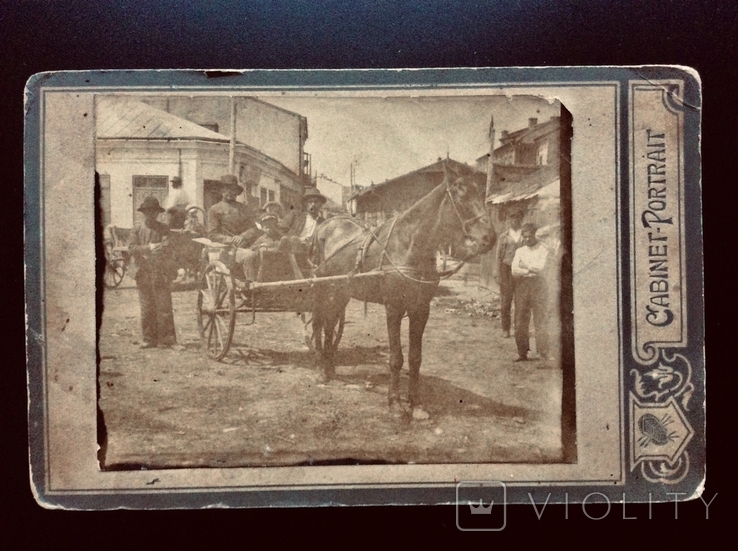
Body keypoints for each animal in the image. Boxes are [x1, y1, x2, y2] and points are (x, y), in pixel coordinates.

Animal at [308, 166, 498, 416]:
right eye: (461, 195)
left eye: (481, 194)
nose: (490, 238)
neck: (409, 245)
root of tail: (325, 225)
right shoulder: (394, 308)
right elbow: (396, 357)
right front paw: (395, 402)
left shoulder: (421, 309)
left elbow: (415, 358)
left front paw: (416, 403)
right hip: (322, 287)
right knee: (319, 324)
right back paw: (321, 369)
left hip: (341, 292)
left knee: (330, 325)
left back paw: (330, 368)